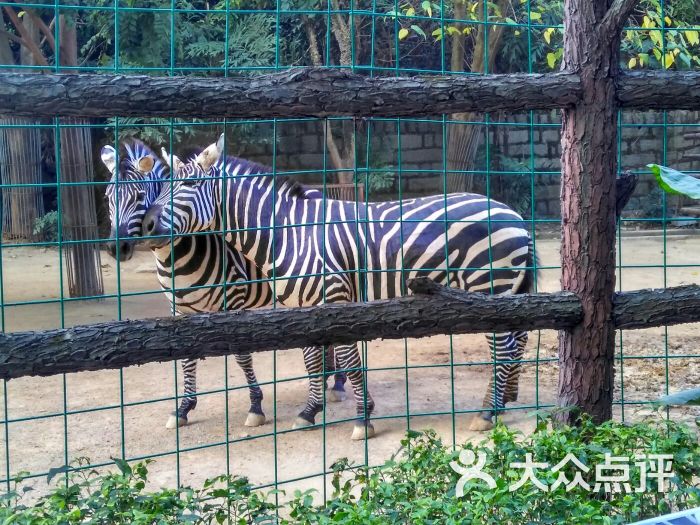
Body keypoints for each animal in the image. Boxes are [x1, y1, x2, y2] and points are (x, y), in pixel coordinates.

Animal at [100, 140, 348, 430]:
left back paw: (338, 383)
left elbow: (242, 356)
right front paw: (183, 408)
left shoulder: (235, 299)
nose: (116, 248)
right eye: (107, 197)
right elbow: (186, 358)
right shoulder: (179, 310)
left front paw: (255, 406)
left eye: (139, 197)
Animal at [142, 133, 536, 440]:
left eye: (190, 185)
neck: (289, 234)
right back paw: (500, 403)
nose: (147, 226)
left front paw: (363, 418)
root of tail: (513, 214)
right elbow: (312, 360)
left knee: (504, 347)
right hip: (503, 289)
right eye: (162, 187)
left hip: (488, 286)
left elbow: (348, 360)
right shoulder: (305, 307)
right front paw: (309, 411)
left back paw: (488, 413)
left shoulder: (335, 298)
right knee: (515, 342)